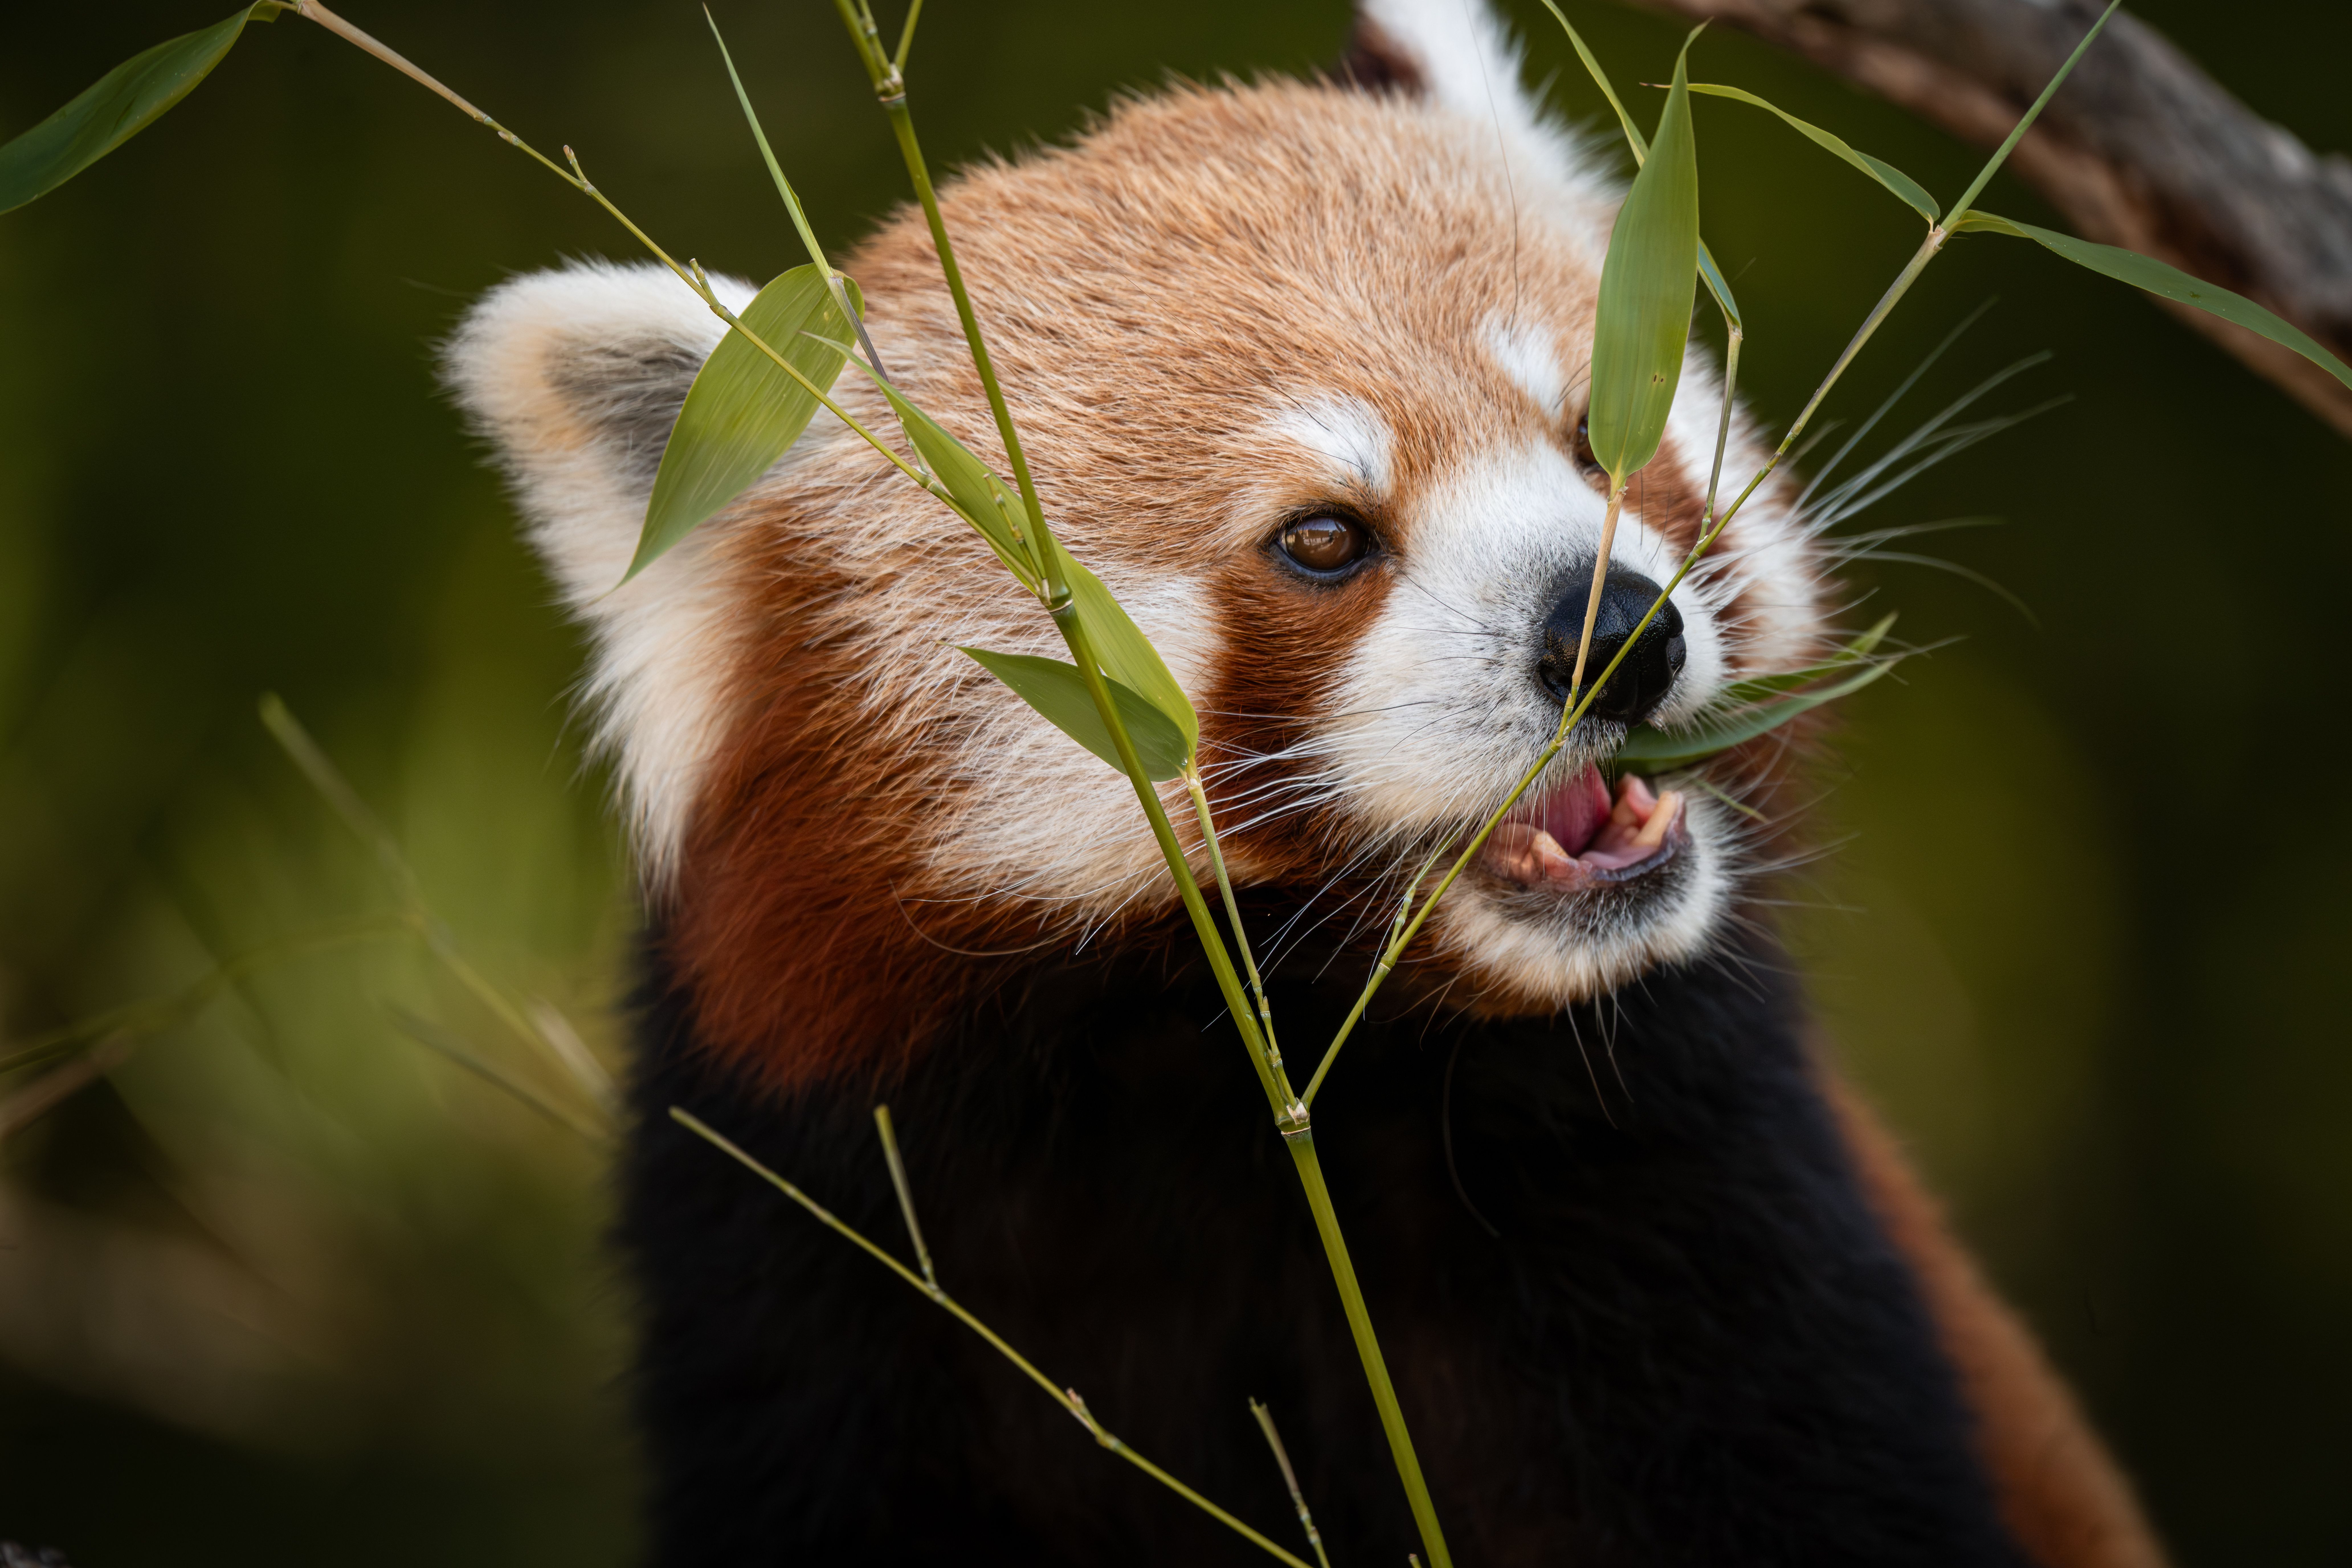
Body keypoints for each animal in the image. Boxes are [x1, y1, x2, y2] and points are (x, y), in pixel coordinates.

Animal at [445, 0, 2165, 1562]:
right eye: (1324, 537)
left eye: (1593, 436)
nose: (1614, 633)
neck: (1237, 1106)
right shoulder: (818, 1249)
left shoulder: (1703, 1213)